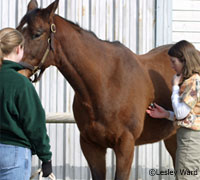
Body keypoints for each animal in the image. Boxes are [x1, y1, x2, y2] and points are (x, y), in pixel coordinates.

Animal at [16, 0, 177, 179]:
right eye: (18, 30)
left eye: (37, 34)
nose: (17, 71)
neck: (106, 85)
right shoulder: (91, 146)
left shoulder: (126, 145)